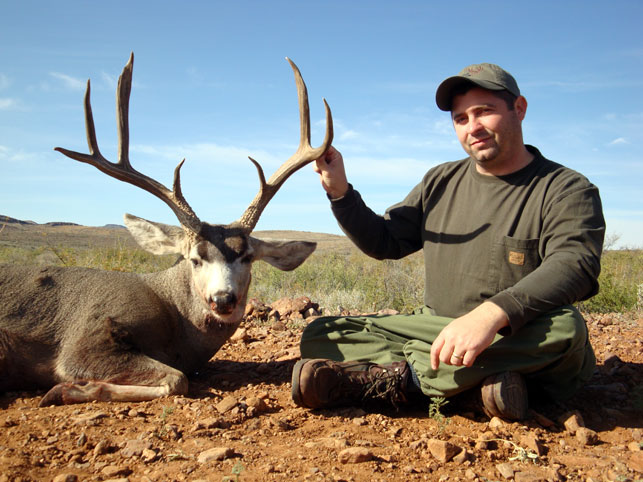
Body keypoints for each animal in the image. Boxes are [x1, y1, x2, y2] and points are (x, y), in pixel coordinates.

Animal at [0, 52, 332, 404]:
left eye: (247, 257)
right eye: (195, 259)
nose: (223, 299)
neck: (174, 326)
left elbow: (178, 378)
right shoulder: (83, 339)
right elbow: (177, 379)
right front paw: (67, 389)